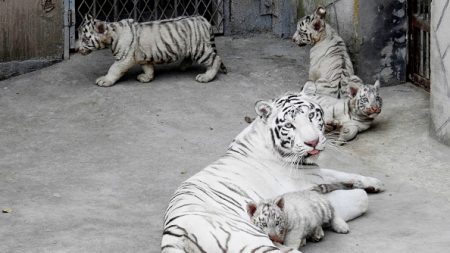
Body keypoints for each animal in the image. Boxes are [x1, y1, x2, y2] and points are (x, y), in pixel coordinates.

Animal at [77, 15, 227, 86]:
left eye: (84, 39)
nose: (77, 49)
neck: (113, 35)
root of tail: (204, 20)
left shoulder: (124, 58)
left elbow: (113, 69)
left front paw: (104, 80)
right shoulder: (143, 56)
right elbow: (148, 68)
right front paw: (146, 77)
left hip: (200, 48)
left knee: (216, 59)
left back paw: (206, 77)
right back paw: (182, 67)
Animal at [162, 93, 384, 253]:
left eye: (311, 116)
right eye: (289, 125)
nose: (312, 142)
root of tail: (175, 234)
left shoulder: (314, 172)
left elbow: (341, 174)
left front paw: (374, 182)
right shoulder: (309, 185)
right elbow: (356, 195)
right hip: (255, 239)